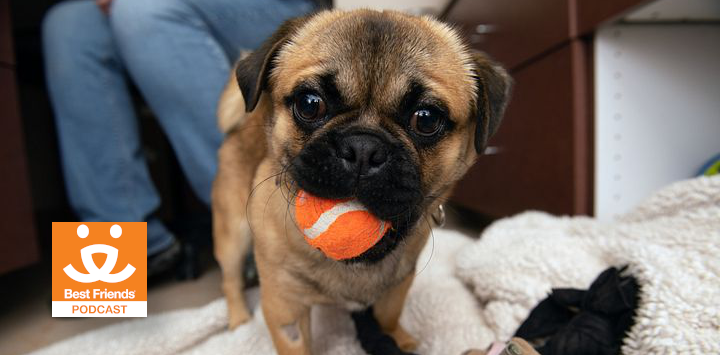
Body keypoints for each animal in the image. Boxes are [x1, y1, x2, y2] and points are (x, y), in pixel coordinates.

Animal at [214, 9, 512, 354]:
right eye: (309, 103)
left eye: (426, 119)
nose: (363, 148)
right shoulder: (285, 307)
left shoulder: (399, 284)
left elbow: (388, 317)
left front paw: (398, 338)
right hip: (232, 233)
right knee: (230, 279)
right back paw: (238, 320)